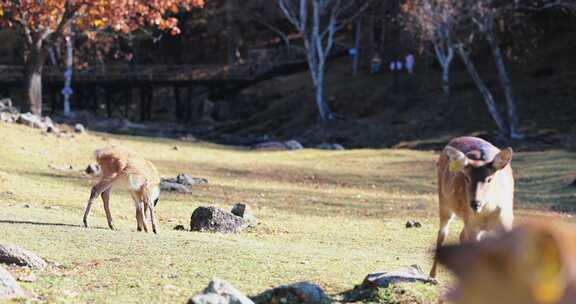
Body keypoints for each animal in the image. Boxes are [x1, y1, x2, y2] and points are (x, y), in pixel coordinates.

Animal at [430, 137, 516, 278]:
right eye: (467, 177)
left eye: (489, 179)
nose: (475, 203)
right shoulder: (472, 226)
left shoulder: (507, 221)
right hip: (444, 201)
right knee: (443, 232)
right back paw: (433, 274)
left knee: (461, 235)